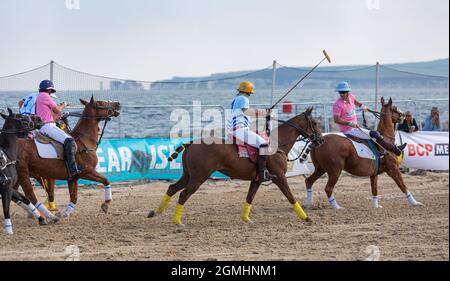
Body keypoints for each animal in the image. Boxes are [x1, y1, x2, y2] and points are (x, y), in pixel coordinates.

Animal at [149, 107, 324, 225]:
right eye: (315, 123)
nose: (321, 140)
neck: (277, 143)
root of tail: (190, 143)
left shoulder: (257, 179)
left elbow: (249, 197)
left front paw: (246, 219)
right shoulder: (279, 177)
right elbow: (290, 196)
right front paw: (306, 217)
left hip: (188, 175)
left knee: (172, 188)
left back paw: (156, 212)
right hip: (199, 177)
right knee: (183, 194)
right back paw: (177, 222)